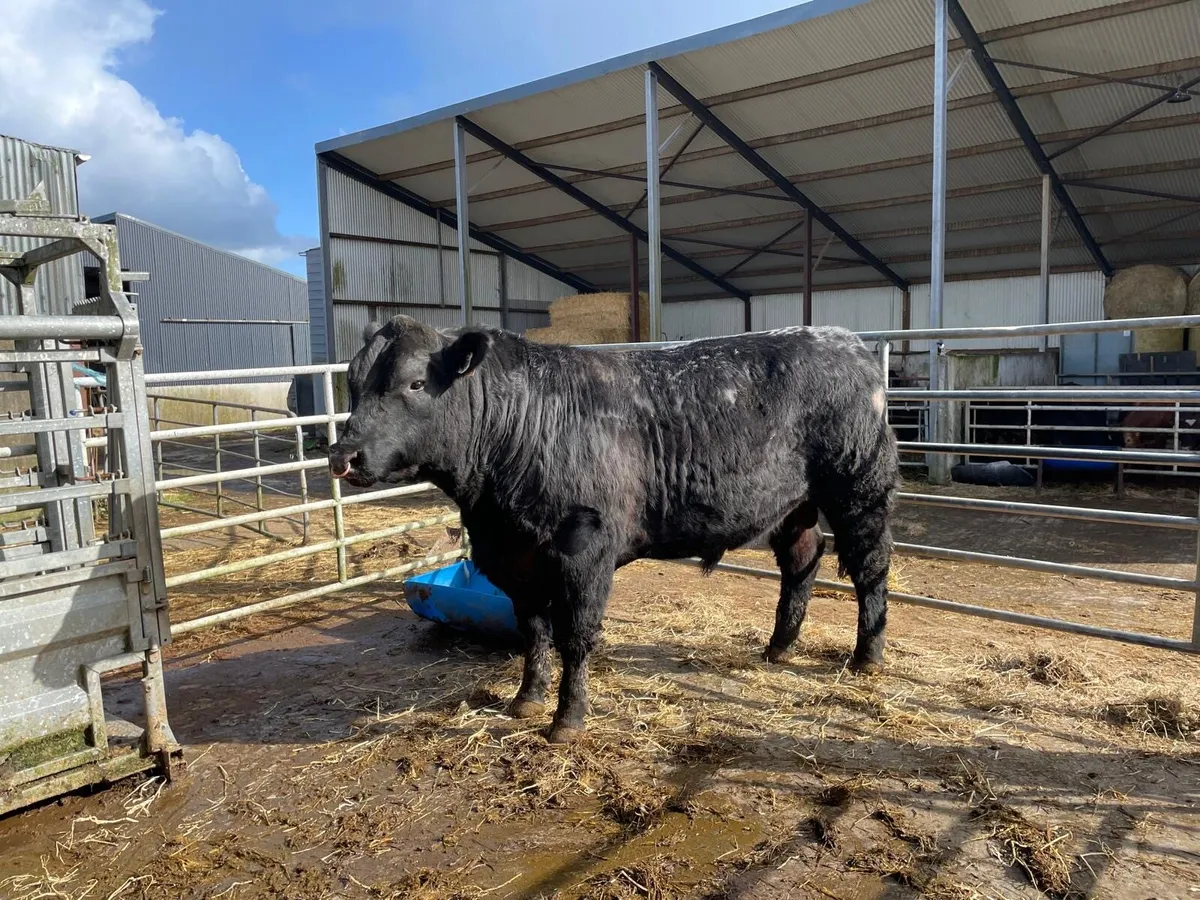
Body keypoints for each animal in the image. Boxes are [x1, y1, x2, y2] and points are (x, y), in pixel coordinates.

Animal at [329, 316, 899, 743]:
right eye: (353, 383)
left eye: (415, 382)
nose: (342, 454)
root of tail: (846, 341)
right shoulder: (516, 559)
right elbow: (532, 631)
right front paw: (525, 699)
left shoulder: (584, 551)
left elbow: (575, 636)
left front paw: (567, 720)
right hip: (793, 504)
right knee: (803, 558)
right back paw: (778, 647)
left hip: (859, 490)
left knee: (870, 567)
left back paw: (867, 657)